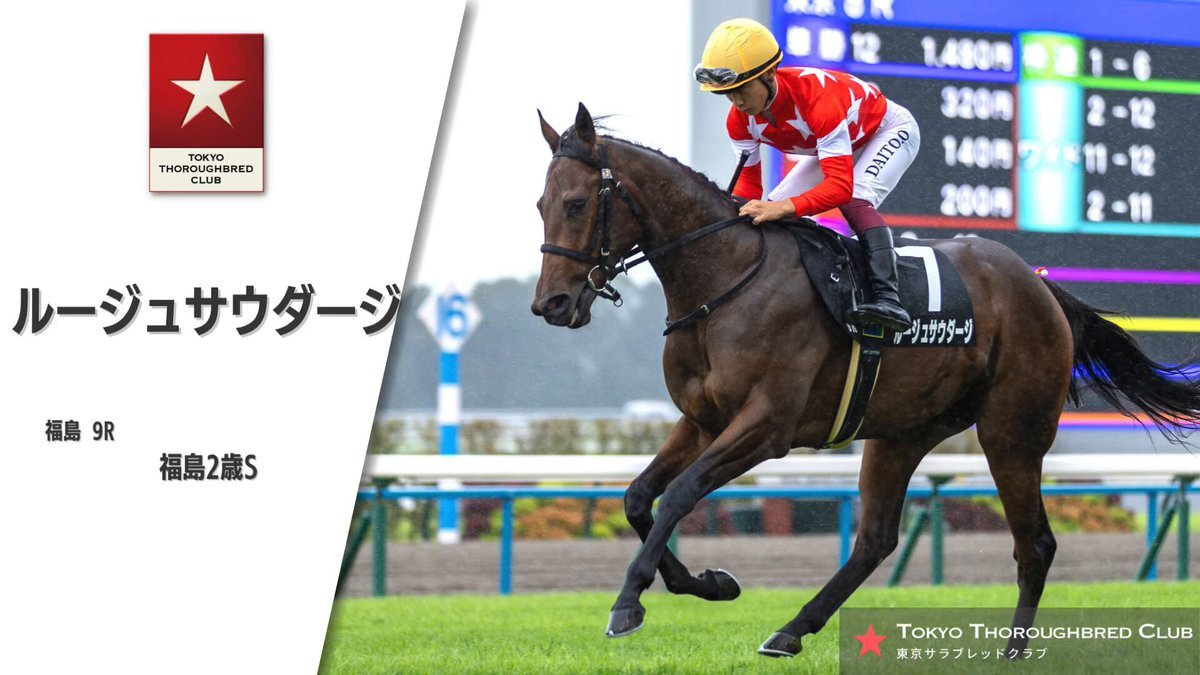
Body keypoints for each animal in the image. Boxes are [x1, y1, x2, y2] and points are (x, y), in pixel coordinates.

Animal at [530, 103, 1200, 658]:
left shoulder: (767, 425)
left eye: (577, 204)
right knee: (876, 539)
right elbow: (638, 497)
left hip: (1013, 429)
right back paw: (790, 631)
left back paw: (1012, 652)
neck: (726, 282)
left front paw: (627, 603)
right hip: (902, 431)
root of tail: (1040, 286)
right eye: (541, 205)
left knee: (1034, 542)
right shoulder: (701, 420)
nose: (552, 304)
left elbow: (679, 494)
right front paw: (710, 584)